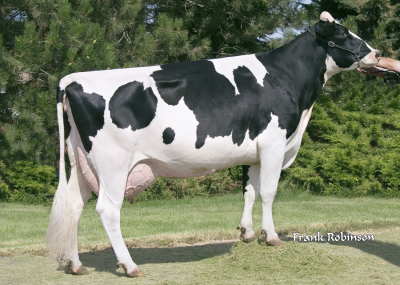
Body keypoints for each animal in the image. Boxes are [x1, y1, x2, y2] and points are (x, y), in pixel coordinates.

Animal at [47, 12, 382, 276]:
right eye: (343, 34)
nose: (378, 53)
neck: (286, 78)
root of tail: (71, 79)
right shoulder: (274, 143)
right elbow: (269, 192)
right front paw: (271, 236)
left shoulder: (254, 153)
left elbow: (250, 191)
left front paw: (247, 233)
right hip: (112, 163)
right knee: (107, 209)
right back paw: (130, 266)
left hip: (81, 161)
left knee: (74, 205)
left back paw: (76, 265)